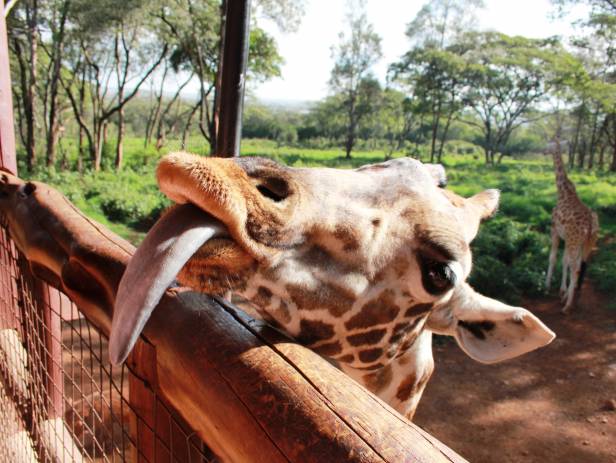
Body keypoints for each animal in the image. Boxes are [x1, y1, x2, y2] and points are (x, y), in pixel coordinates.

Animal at [548, 140, 600, 316]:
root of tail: (590, 225)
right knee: (580, 265)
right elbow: (564, 261)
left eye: (549, 144)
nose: (544, 151)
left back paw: (567, 306)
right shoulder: (566, 237)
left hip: (574, 241)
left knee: (576, 267)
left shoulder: (555, 231)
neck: (563, 191)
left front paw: (546, 286)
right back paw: (570, 298)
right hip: (586, 243)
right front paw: (562, 290)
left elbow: (553, 257)